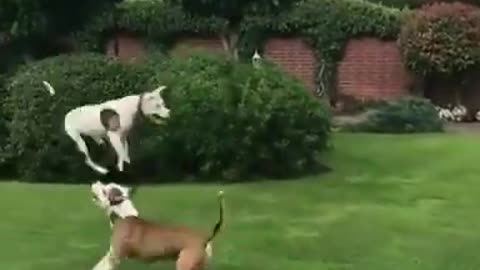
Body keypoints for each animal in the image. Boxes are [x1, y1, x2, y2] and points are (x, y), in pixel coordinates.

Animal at [40, 81, 171, 174]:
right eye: (158, 106)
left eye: (163, 104)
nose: (169, 113)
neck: (135, 106)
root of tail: (67, 113)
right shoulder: (114, 136)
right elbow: (122, 154)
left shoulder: (122, 137)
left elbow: (124, 153)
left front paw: (122, 166)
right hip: (78, 139)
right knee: (88, 160)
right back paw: (101, 170)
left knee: (96, 140)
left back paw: (100, 143)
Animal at [90, 181, 225, 270]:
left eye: (105, 191)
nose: (95, 182)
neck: (122, 214)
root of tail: (206, 238)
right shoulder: (112, 255)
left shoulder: (114, 256)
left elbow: (100, 266)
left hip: (185, 264)